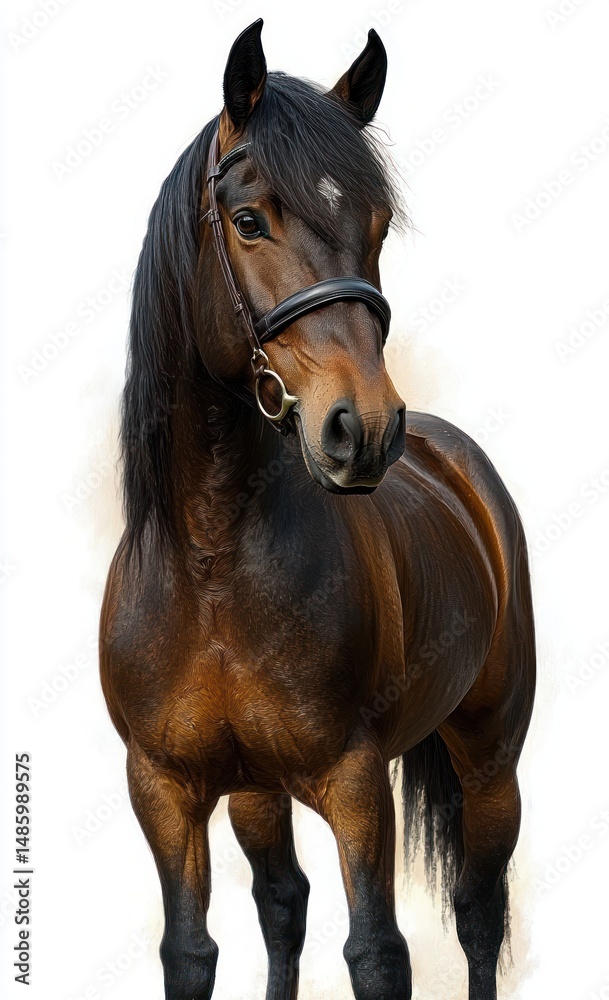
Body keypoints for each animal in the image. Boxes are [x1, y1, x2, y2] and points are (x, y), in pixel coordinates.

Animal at [100, 19, 535, 1000]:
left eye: (373, 224)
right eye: (248, 219)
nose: (363, 429)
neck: (212, 563)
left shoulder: (354, 781)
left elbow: (375, 952)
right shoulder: (165, 789)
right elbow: (195, 950)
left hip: (490, 759)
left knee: (478, 911)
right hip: (257, 793)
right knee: (282, 904)